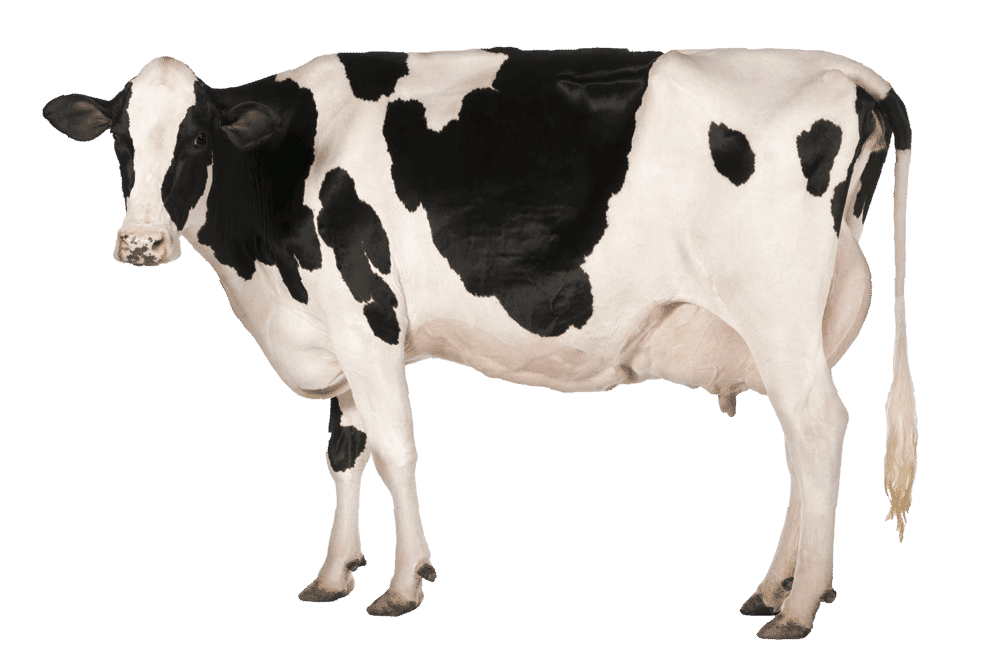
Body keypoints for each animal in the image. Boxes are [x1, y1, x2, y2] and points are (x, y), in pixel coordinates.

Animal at [43, 47, 917, 640]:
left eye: (197, 140)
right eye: (122, 142)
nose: (140, 243)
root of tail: (843, 71)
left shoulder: (368, 314)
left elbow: (395, 450)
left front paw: (403, 583)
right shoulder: (338, 333)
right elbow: (343, 452)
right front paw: (332, 572)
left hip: (774, 308)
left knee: (818, 426)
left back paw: (797, 606)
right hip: (804, 322)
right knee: (800, 442)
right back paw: (779, 585)